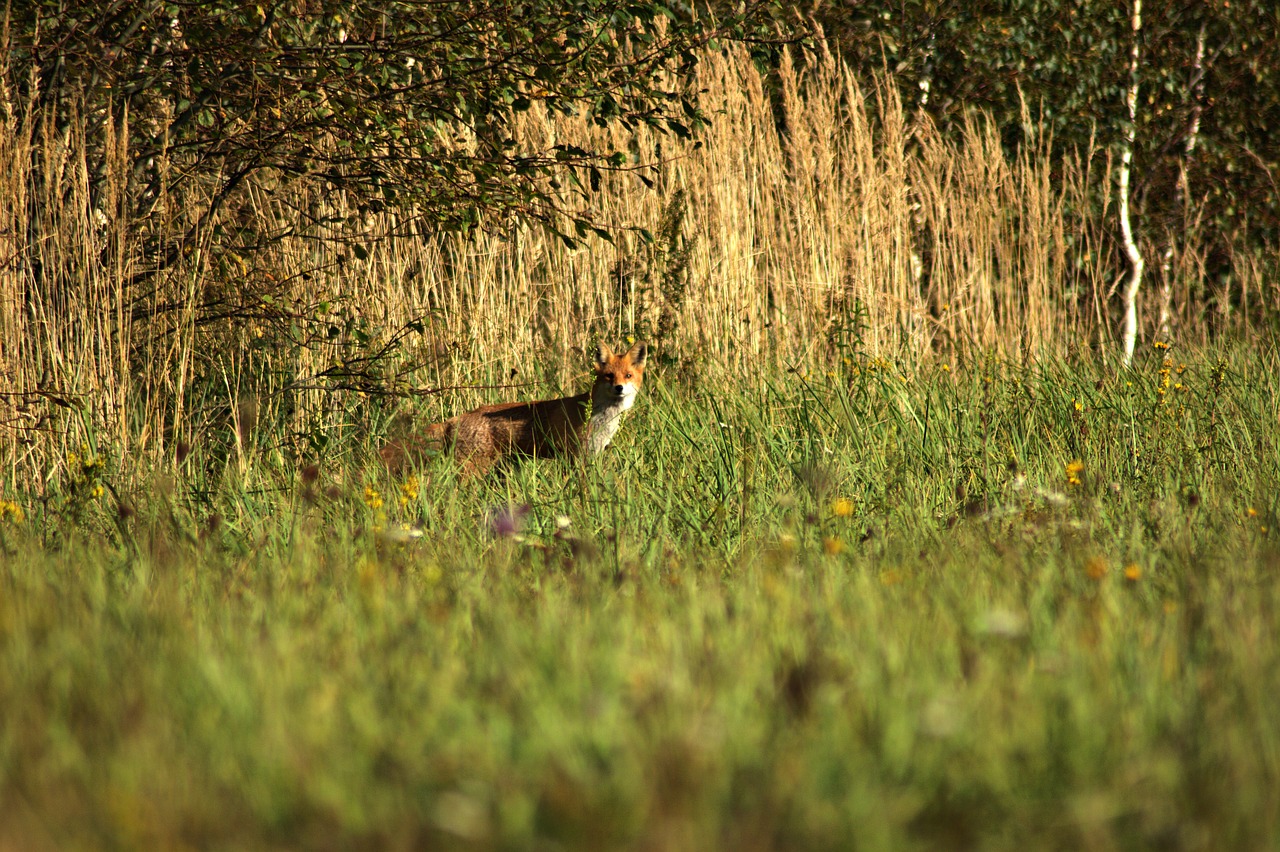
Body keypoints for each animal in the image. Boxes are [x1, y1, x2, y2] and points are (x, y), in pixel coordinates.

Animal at [373, 337, 645, 470]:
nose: (619, 388)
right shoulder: (573, 455)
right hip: (473, 469)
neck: (600, 417)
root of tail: (455, 419)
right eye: (609, 376)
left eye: (628, 375)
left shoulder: (590, 455)